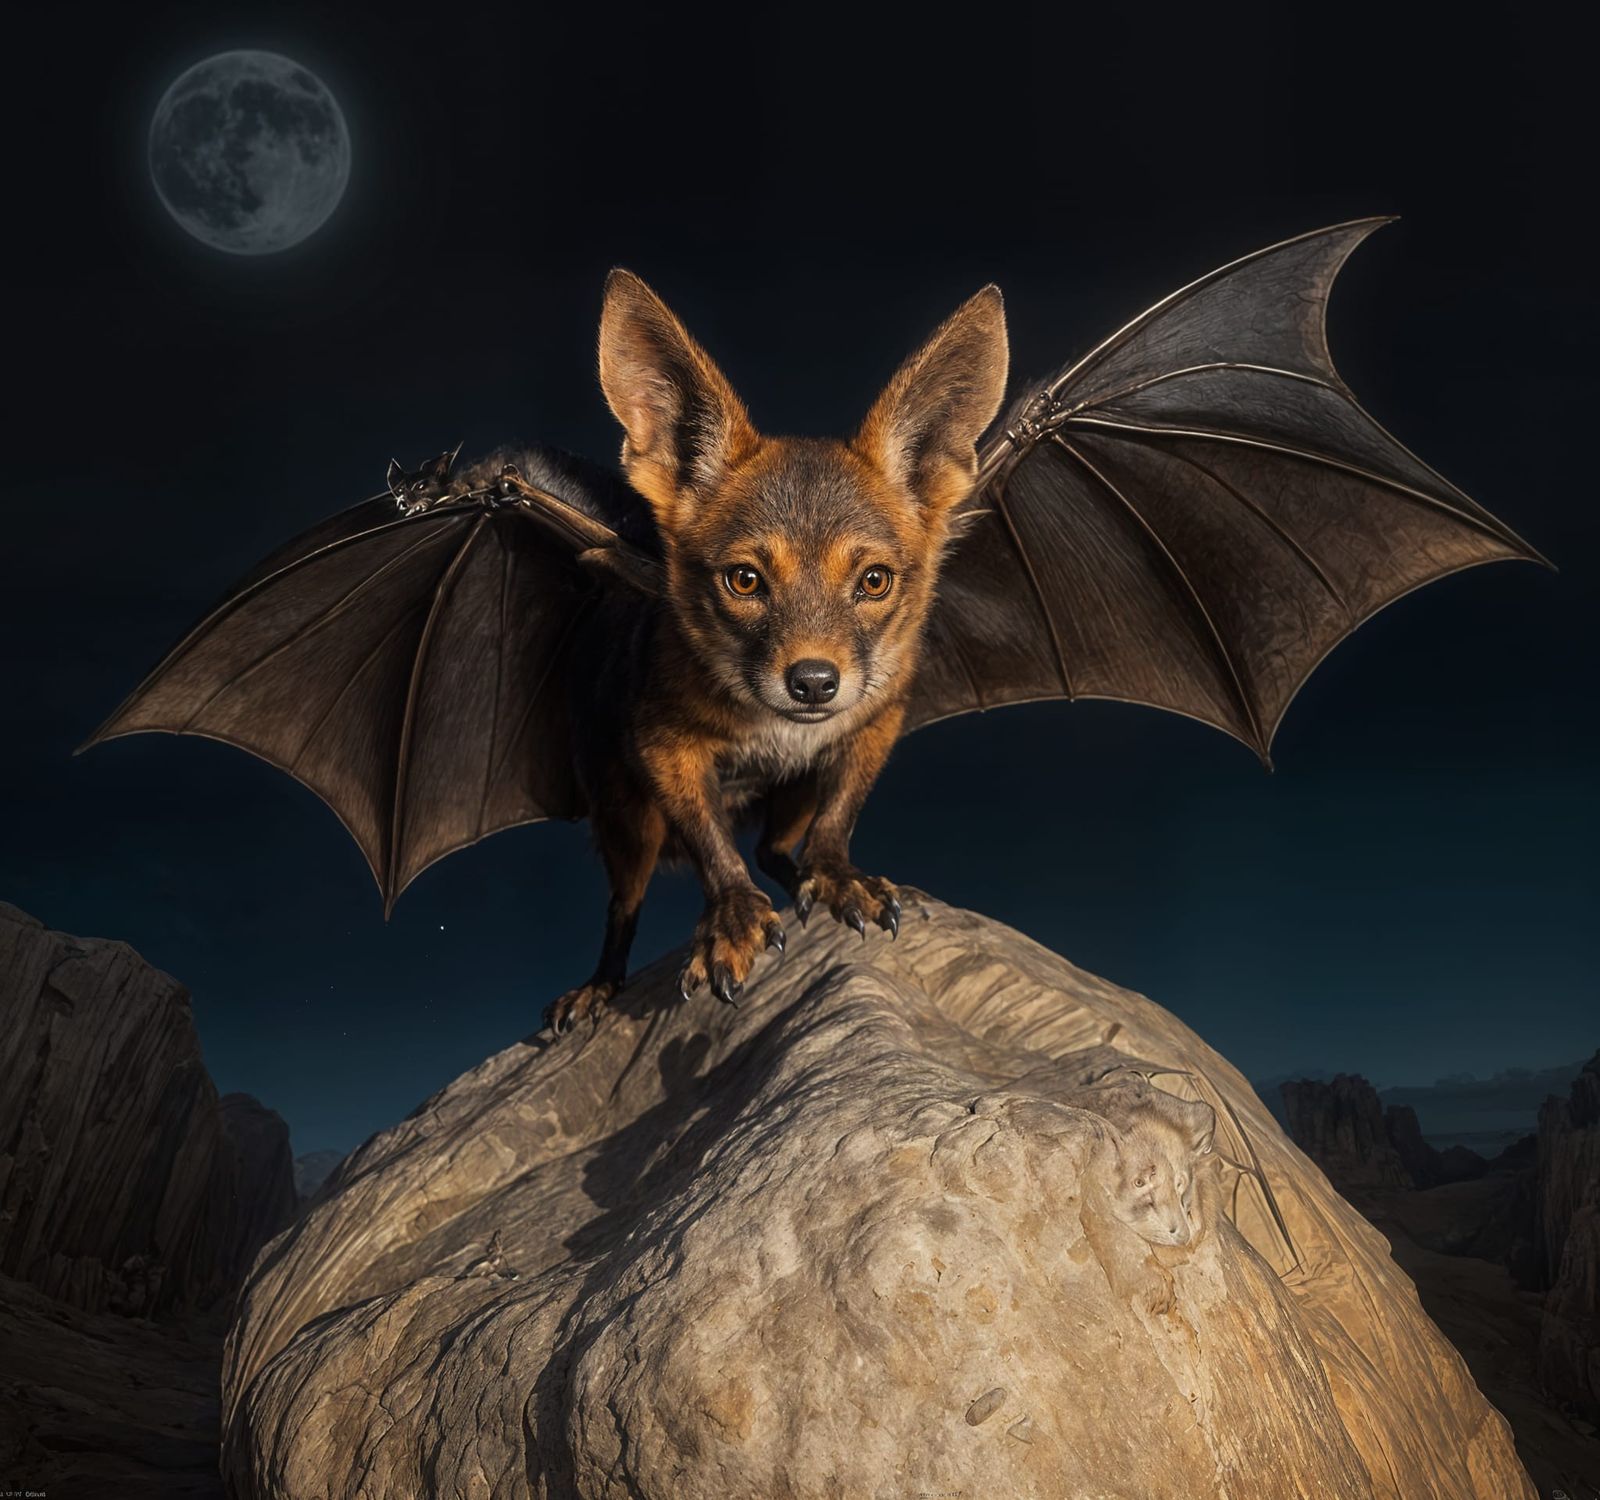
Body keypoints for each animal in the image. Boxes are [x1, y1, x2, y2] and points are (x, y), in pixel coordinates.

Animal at [517, 268, 1011, 1032]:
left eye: (874, 581)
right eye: (745, 580)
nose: (813, 681)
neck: (773, 732)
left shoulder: (875, 724)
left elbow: (836, 819)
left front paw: (838, 877)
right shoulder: (664, 747)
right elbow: (714, 846)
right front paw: (733, 922)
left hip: (787, 794)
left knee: (774, 847)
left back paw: (813, 882)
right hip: (627, 823)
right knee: (626, 904)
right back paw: (600, 986)